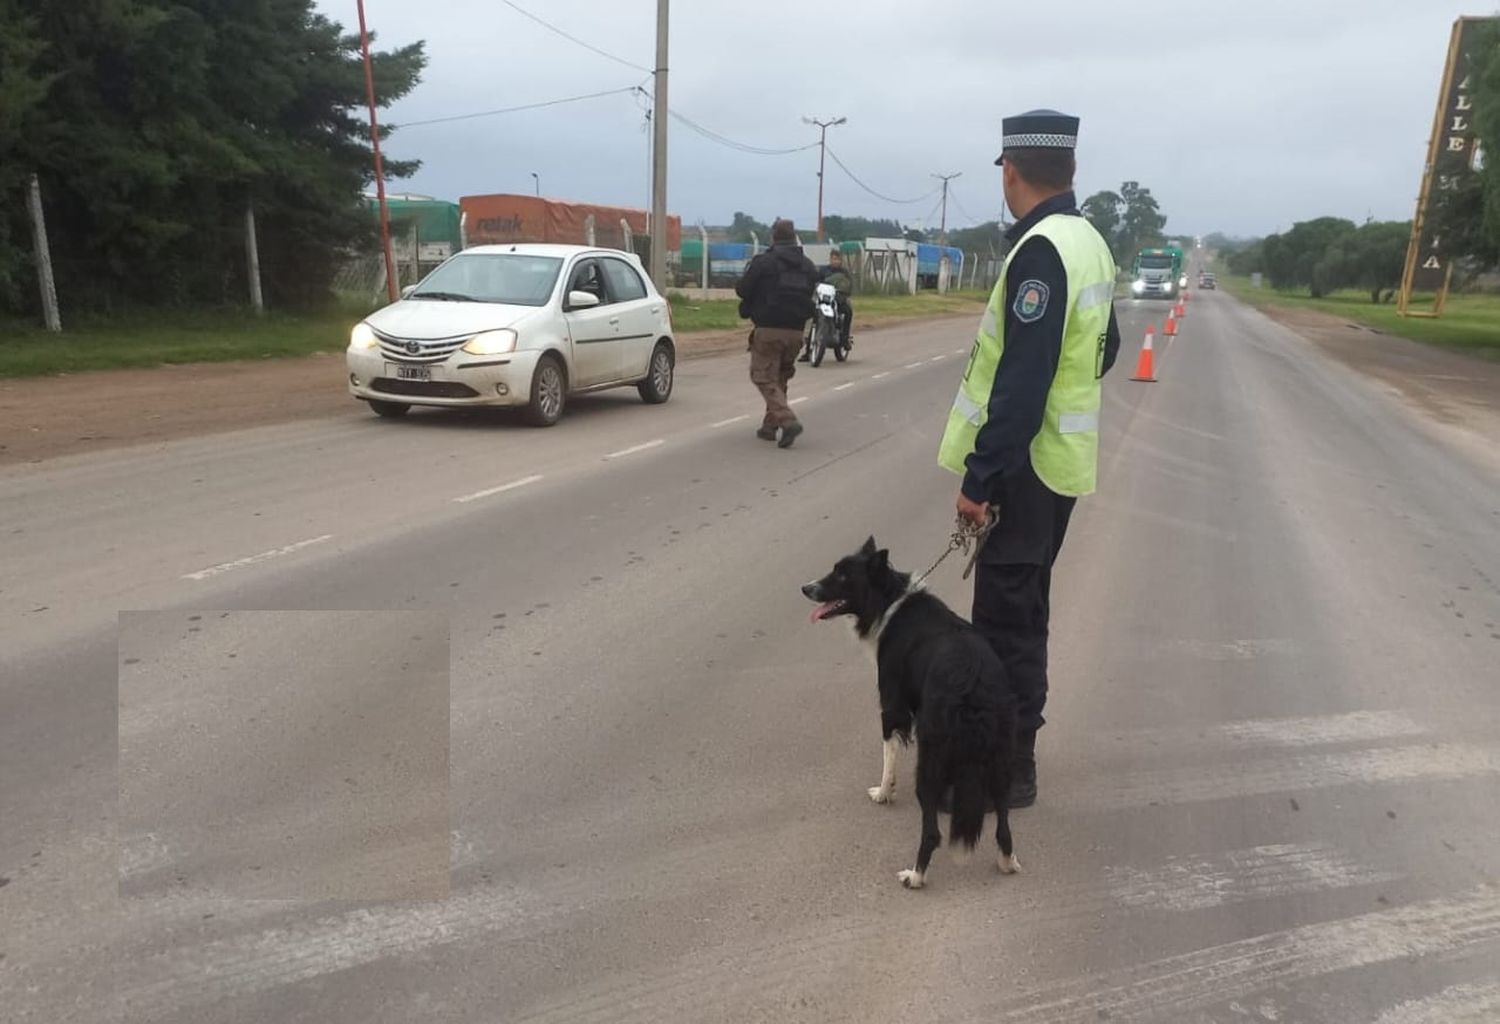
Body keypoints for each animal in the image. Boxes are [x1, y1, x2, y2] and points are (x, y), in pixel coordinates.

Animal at [804, 536, 1026, 887]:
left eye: (842, 575)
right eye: (835, 570)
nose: (805, 588)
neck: (889, 601)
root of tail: (973, 684)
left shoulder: (891, 704)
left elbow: (888, 755)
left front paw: (883, 793)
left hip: (931, 753)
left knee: (932, 831)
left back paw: (915, 876)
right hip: (1002, 753)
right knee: (1003, 819)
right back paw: (1007, 861)